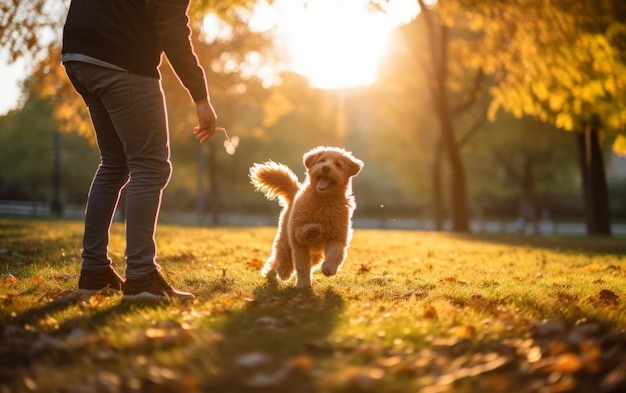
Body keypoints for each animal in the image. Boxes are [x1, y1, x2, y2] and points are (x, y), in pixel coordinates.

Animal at [247, 145, 360, 286]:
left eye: (338, 164)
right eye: (322, 160)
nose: (326, 168)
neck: (323, 200)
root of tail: (294, 193)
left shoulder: (337, 237)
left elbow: (336, 253)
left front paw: (329, 268)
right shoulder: (298, 238)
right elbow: (302, 264)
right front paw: (303, 285)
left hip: (315, 254)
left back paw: (272, 273)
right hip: (285, 237)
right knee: (281, 255)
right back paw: (282, 271)